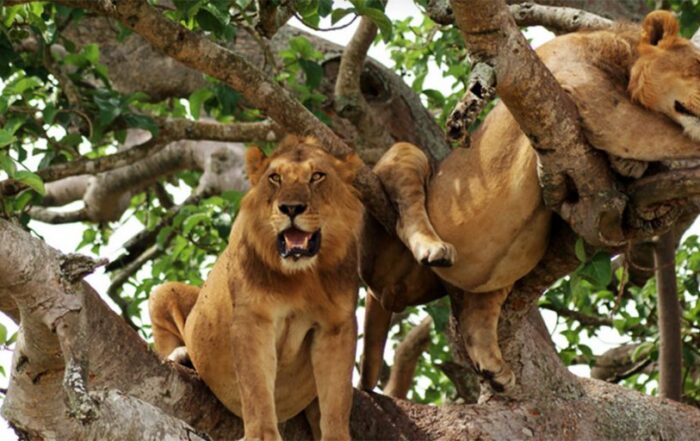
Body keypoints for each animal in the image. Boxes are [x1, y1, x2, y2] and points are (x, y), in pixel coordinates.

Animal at [148, 136, 364, 441]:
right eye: (275, 178)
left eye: (317, 176)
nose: (291, 208)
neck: (302, 276)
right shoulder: (253, 318)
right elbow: (256, 387)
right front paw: (261, 435)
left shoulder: (337, 326)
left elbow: (337, 398)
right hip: (164, 292)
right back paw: (182, 355)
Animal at [359, 10, 700, 393]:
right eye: (697, 66)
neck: (623, 57)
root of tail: (383, 294)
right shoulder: (586, 89)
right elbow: (666, 135)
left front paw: (630, 165)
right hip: (406, 163)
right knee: (407, 209)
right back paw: (432, 248)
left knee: (478, 308)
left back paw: (492, 366)